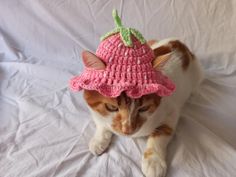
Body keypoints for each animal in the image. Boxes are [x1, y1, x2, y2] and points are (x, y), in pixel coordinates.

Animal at [81, 38, 203, 177]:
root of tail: (178, 43)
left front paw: (154, 161)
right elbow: (101, 122)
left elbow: (162, 132)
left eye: (144, 108)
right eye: (111, 107)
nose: (128, 130)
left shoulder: (171, 112)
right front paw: (99, 140)